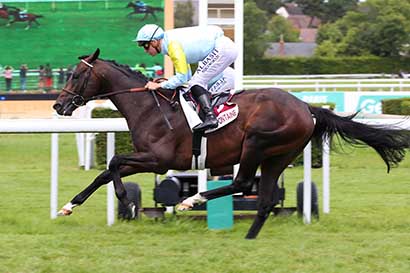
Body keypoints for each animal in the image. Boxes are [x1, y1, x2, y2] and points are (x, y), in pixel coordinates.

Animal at [53, 49, 410, 238]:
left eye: (76, 75)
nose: (58, 105)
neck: (150, 108)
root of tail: (306, 107)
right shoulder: (147, 157)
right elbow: (104, 172)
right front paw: (68, 206)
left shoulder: (159, 158)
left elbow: (113, 164)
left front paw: (126, 201)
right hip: (280, 155)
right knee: (262, 199)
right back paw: (248, 236)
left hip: (256, 143)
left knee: (243, 183)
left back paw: (192, 200)